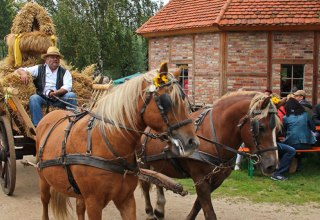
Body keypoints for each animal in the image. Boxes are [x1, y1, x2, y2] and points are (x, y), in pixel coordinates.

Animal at [36, 62, 199, 220]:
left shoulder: (126, 199)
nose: (193, 142)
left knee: (79, 208)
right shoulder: (94, 203)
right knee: (45, 202)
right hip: (43, 179)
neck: (109, 144)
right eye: (167, 101)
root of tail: (51, 113)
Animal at [139, 90, 280, 219]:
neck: (213, 134)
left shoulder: (216, 181)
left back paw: (159, 209)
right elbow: (209, 213)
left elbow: (198, 205)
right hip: (142, 163)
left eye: (277, 129)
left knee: (157, 180)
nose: (272, 166)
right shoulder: (200, 179)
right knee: (145, 185)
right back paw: (150, 212)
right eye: (260, 127)